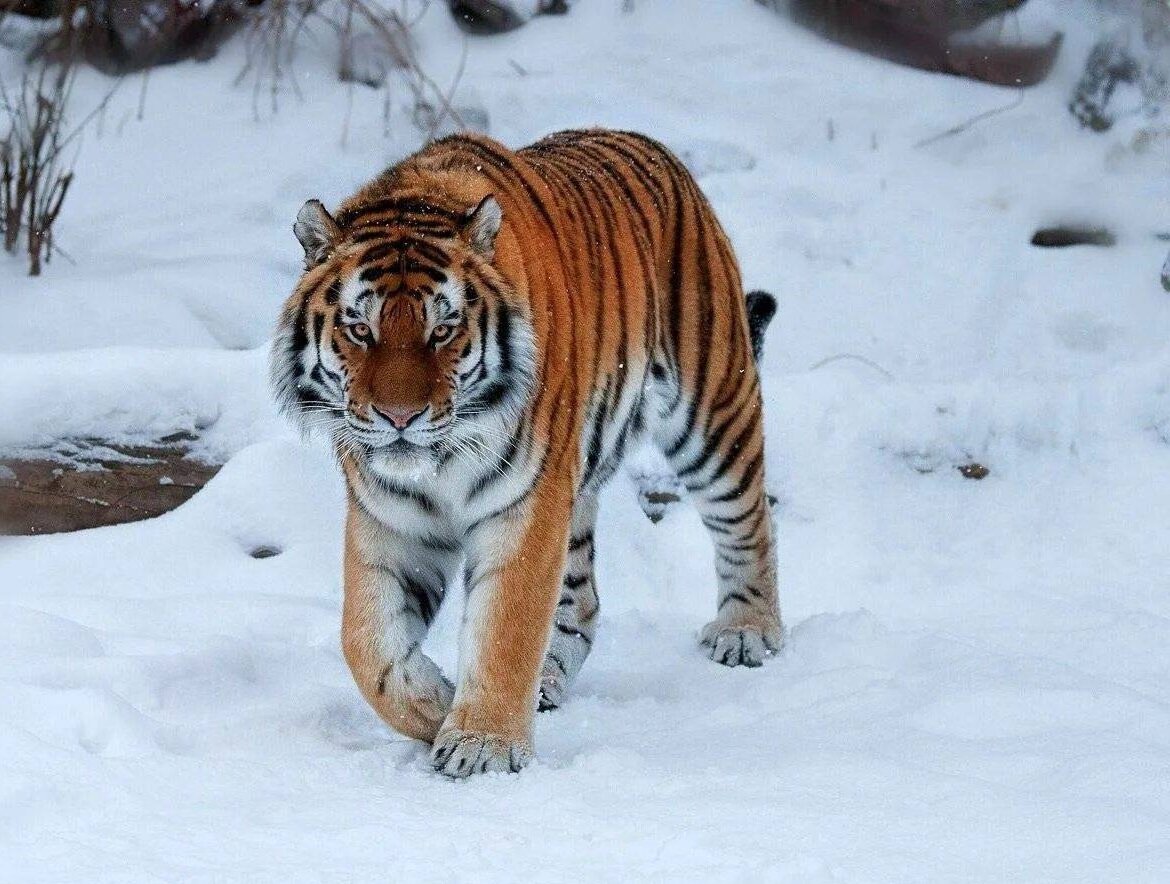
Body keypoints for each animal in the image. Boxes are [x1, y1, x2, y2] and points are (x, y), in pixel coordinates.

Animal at [270, 128, 781, 776]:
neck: (437, 463)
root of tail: (653, 147)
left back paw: (748, 630)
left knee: (749, 521)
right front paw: (438, 704)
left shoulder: (525, 505)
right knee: (581, 599)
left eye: (443, 331)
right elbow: (366, 644)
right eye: (360, 330)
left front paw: (481, 745)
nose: (399, 418)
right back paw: (547, 681)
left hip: (711, 411)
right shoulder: (391, 519)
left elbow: (505, 627)